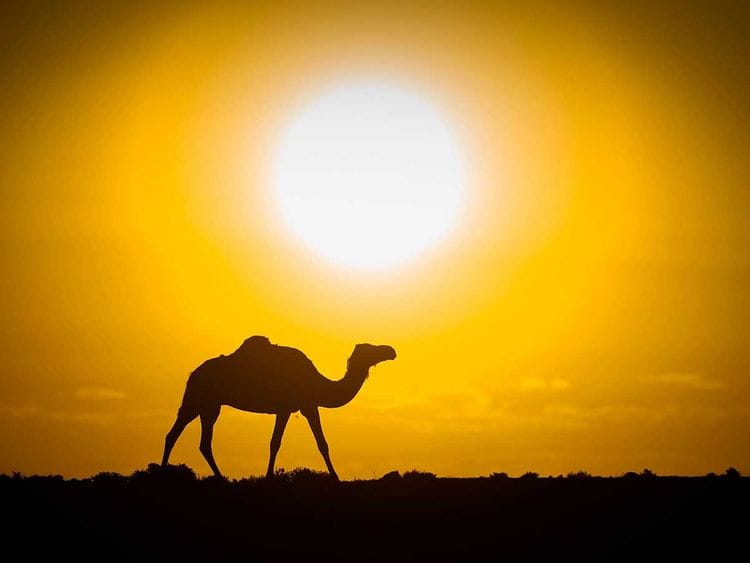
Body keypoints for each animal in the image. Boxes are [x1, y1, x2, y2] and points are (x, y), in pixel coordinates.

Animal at [161, 335, 396, 480]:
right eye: (370, 348)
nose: (391, 350)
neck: (316, 383)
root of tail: (192, 374)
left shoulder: (297, 407)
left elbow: (293, 443)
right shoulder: (300, 405)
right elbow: (291, 443)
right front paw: (335, 477)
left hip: (207, 405)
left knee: (189, 438)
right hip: (199, 399)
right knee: (184, 436)